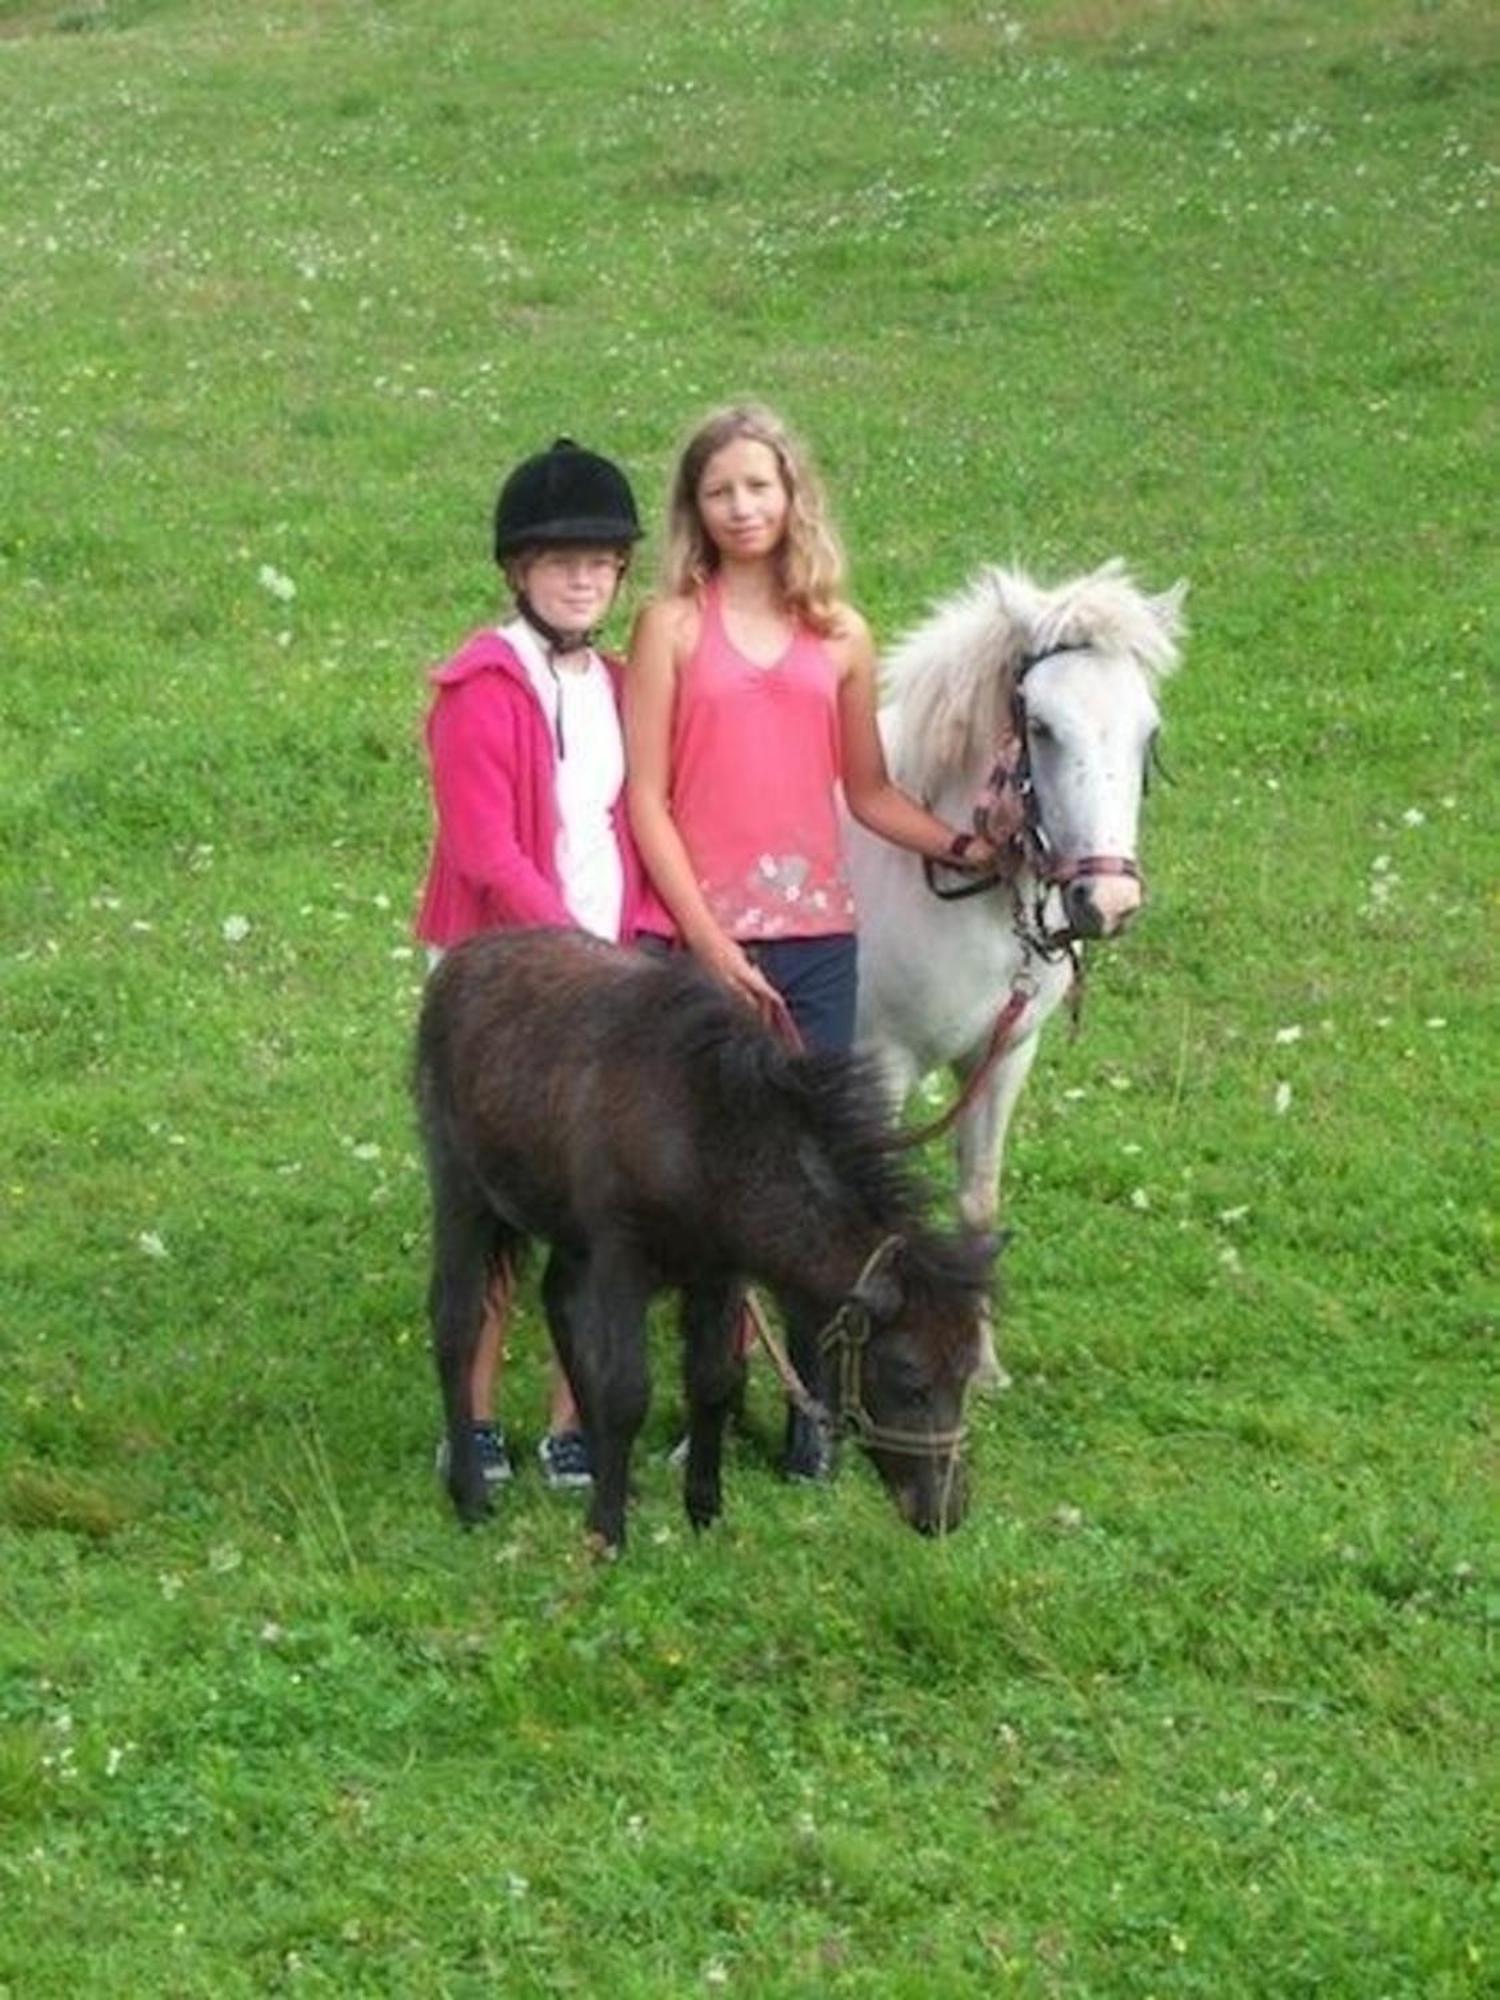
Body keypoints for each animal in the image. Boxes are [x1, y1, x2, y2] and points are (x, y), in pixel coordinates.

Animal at [856, 560, 1184, 1376]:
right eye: (1041, 727)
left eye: (1148, 731)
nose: (1109, 901)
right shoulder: (879, 1064)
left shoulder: (1003, 1054)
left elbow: (978, 1198)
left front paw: (981, 1361)